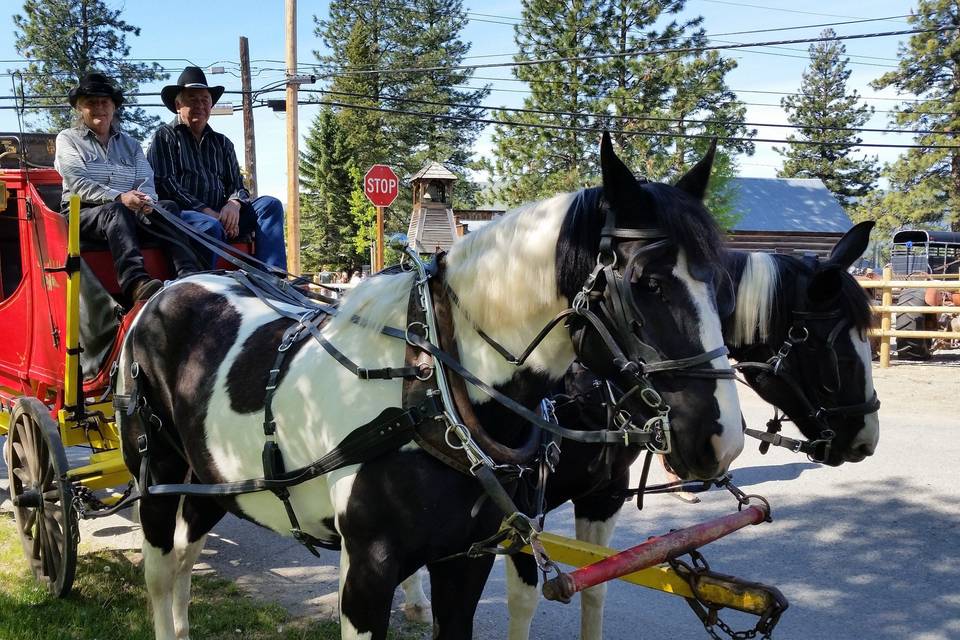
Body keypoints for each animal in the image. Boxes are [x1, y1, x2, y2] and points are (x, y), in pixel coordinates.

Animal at [114, 136, 744, 640]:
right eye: (646, 283)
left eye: (724, 282)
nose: (722, 440)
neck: (431, 393)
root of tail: (165, 287)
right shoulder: (366, 571)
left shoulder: (468, 558)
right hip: (158, 473)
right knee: (160, 570)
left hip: (213, 481)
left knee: (186, 558)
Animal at [498, 221, 880, 640]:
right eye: (833, 349)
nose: (867, 438)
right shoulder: (522, 511)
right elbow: (523, 600)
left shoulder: (605, 494)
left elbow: (595, 584)